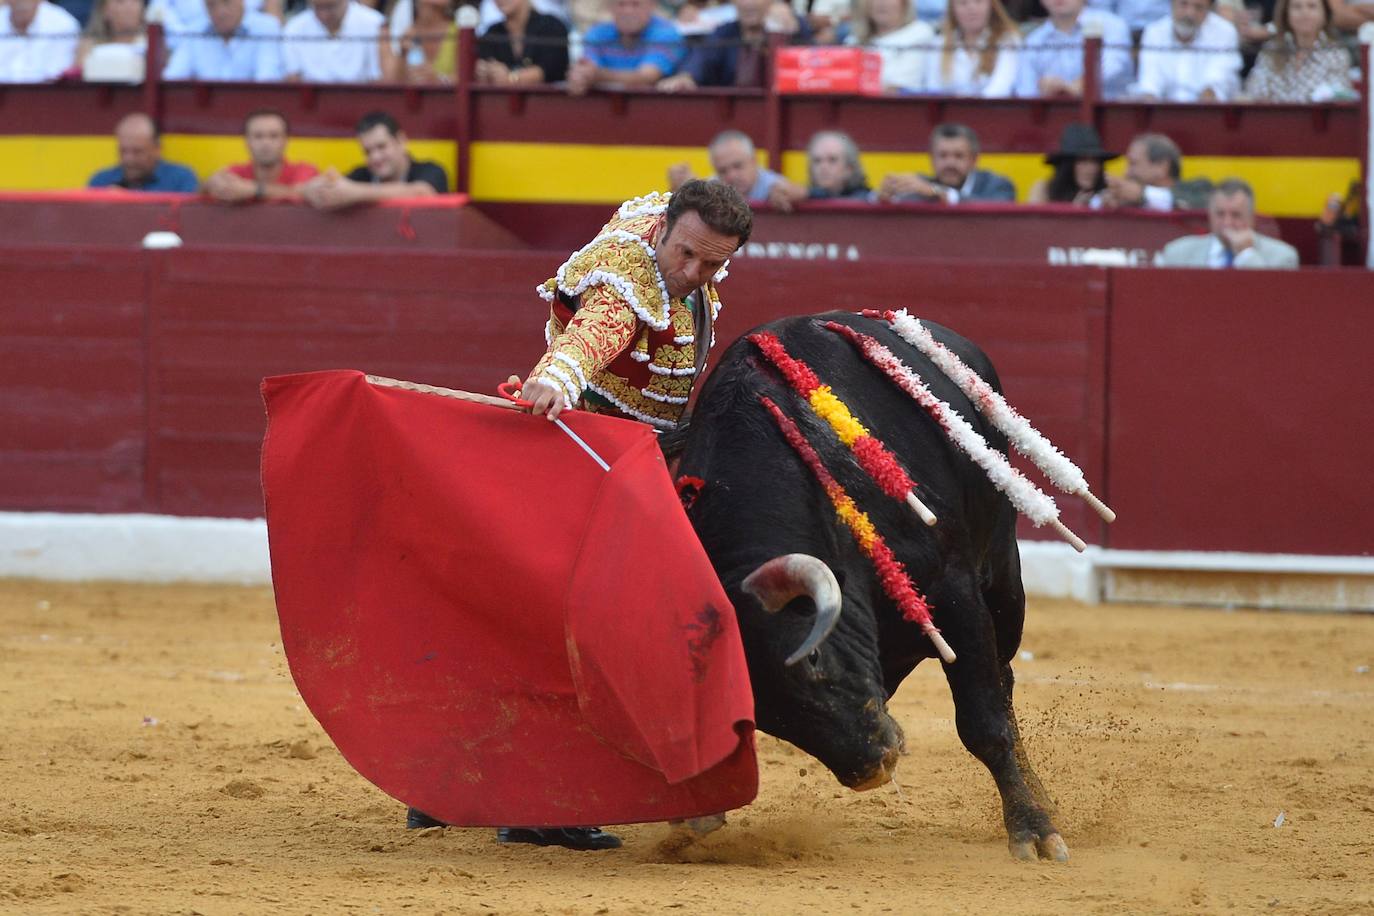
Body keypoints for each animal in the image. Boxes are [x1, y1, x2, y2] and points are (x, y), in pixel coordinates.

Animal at [676, 311, 1071, 862]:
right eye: (763, 714)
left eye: (813, 660)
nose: (871, 767)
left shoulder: (953, 591)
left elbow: (984, 722)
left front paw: (1034, 831)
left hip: (1003, 580)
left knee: (1004, 678)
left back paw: (1040, 802)